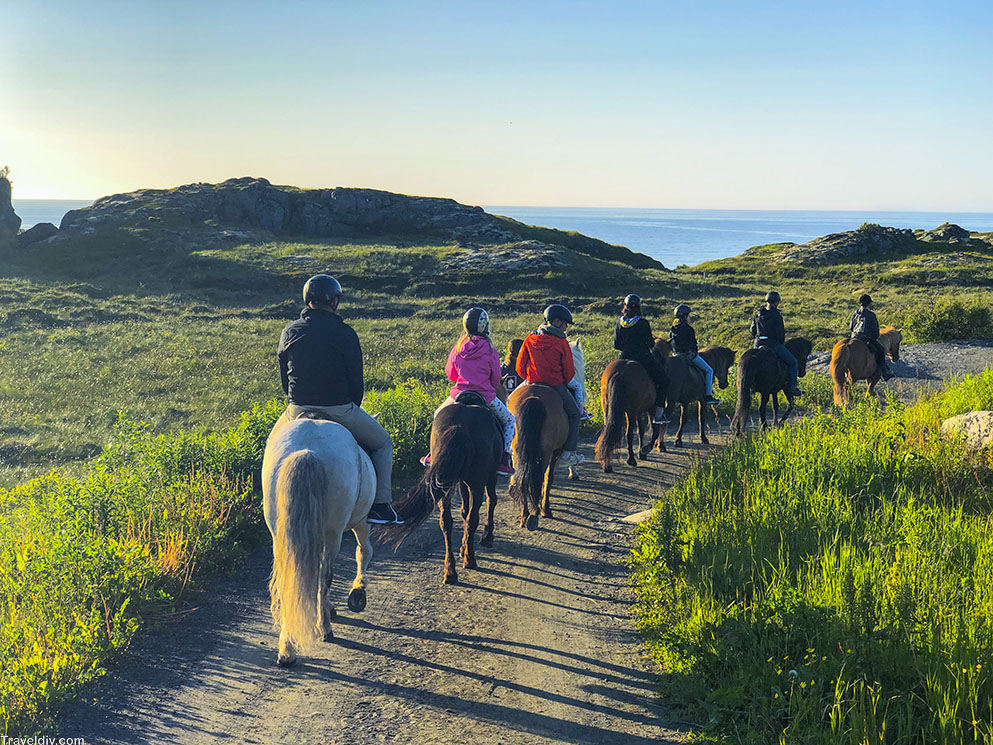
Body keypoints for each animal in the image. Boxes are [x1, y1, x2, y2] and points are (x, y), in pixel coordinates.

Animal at [262, 412, 374, 668]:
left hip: (279, 534)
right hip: (333, 533)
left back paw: (287, 649)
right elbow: (364, 551)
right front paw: (357, 592)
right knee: (325, 575)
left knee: (288, 579)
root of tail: (307, 450)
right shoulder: (362, 521)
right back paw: (324, 628)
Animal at [384, 392, 500, 584]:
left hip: (444, 481)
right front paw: (486, 537)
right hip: (476, 481)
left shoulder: (461, 481)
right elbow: (490, 501)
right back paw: (469, 560)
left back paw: (450, 571)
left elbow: (463, 510)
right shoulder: (489, 475)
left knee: (446, 521)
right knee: (472, 517)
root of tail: (459, 426)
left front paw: (463, 546)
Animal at [508, 384, 576, 528]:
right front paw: (546, 509)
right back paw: (536, 513)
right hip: (545, 452)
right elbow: (548, 478)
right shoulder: (555, 452)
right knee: (537, 477)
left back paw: (525, 516)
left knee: (522, 479)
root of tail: (533, 397)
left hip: (517, 451)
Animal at [592, 338, 672, 470]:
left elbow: (641, 431)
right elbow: (654, 431)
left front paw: (641, 453)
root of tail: (620, 373)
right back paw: (631, 459)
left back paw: (607, 464)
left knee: (608, 431)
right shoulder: (651, 409)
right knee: (628, 434)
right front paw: (645, 449)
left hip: (608, 409)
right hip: (631, 412)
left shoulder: (639, 412)